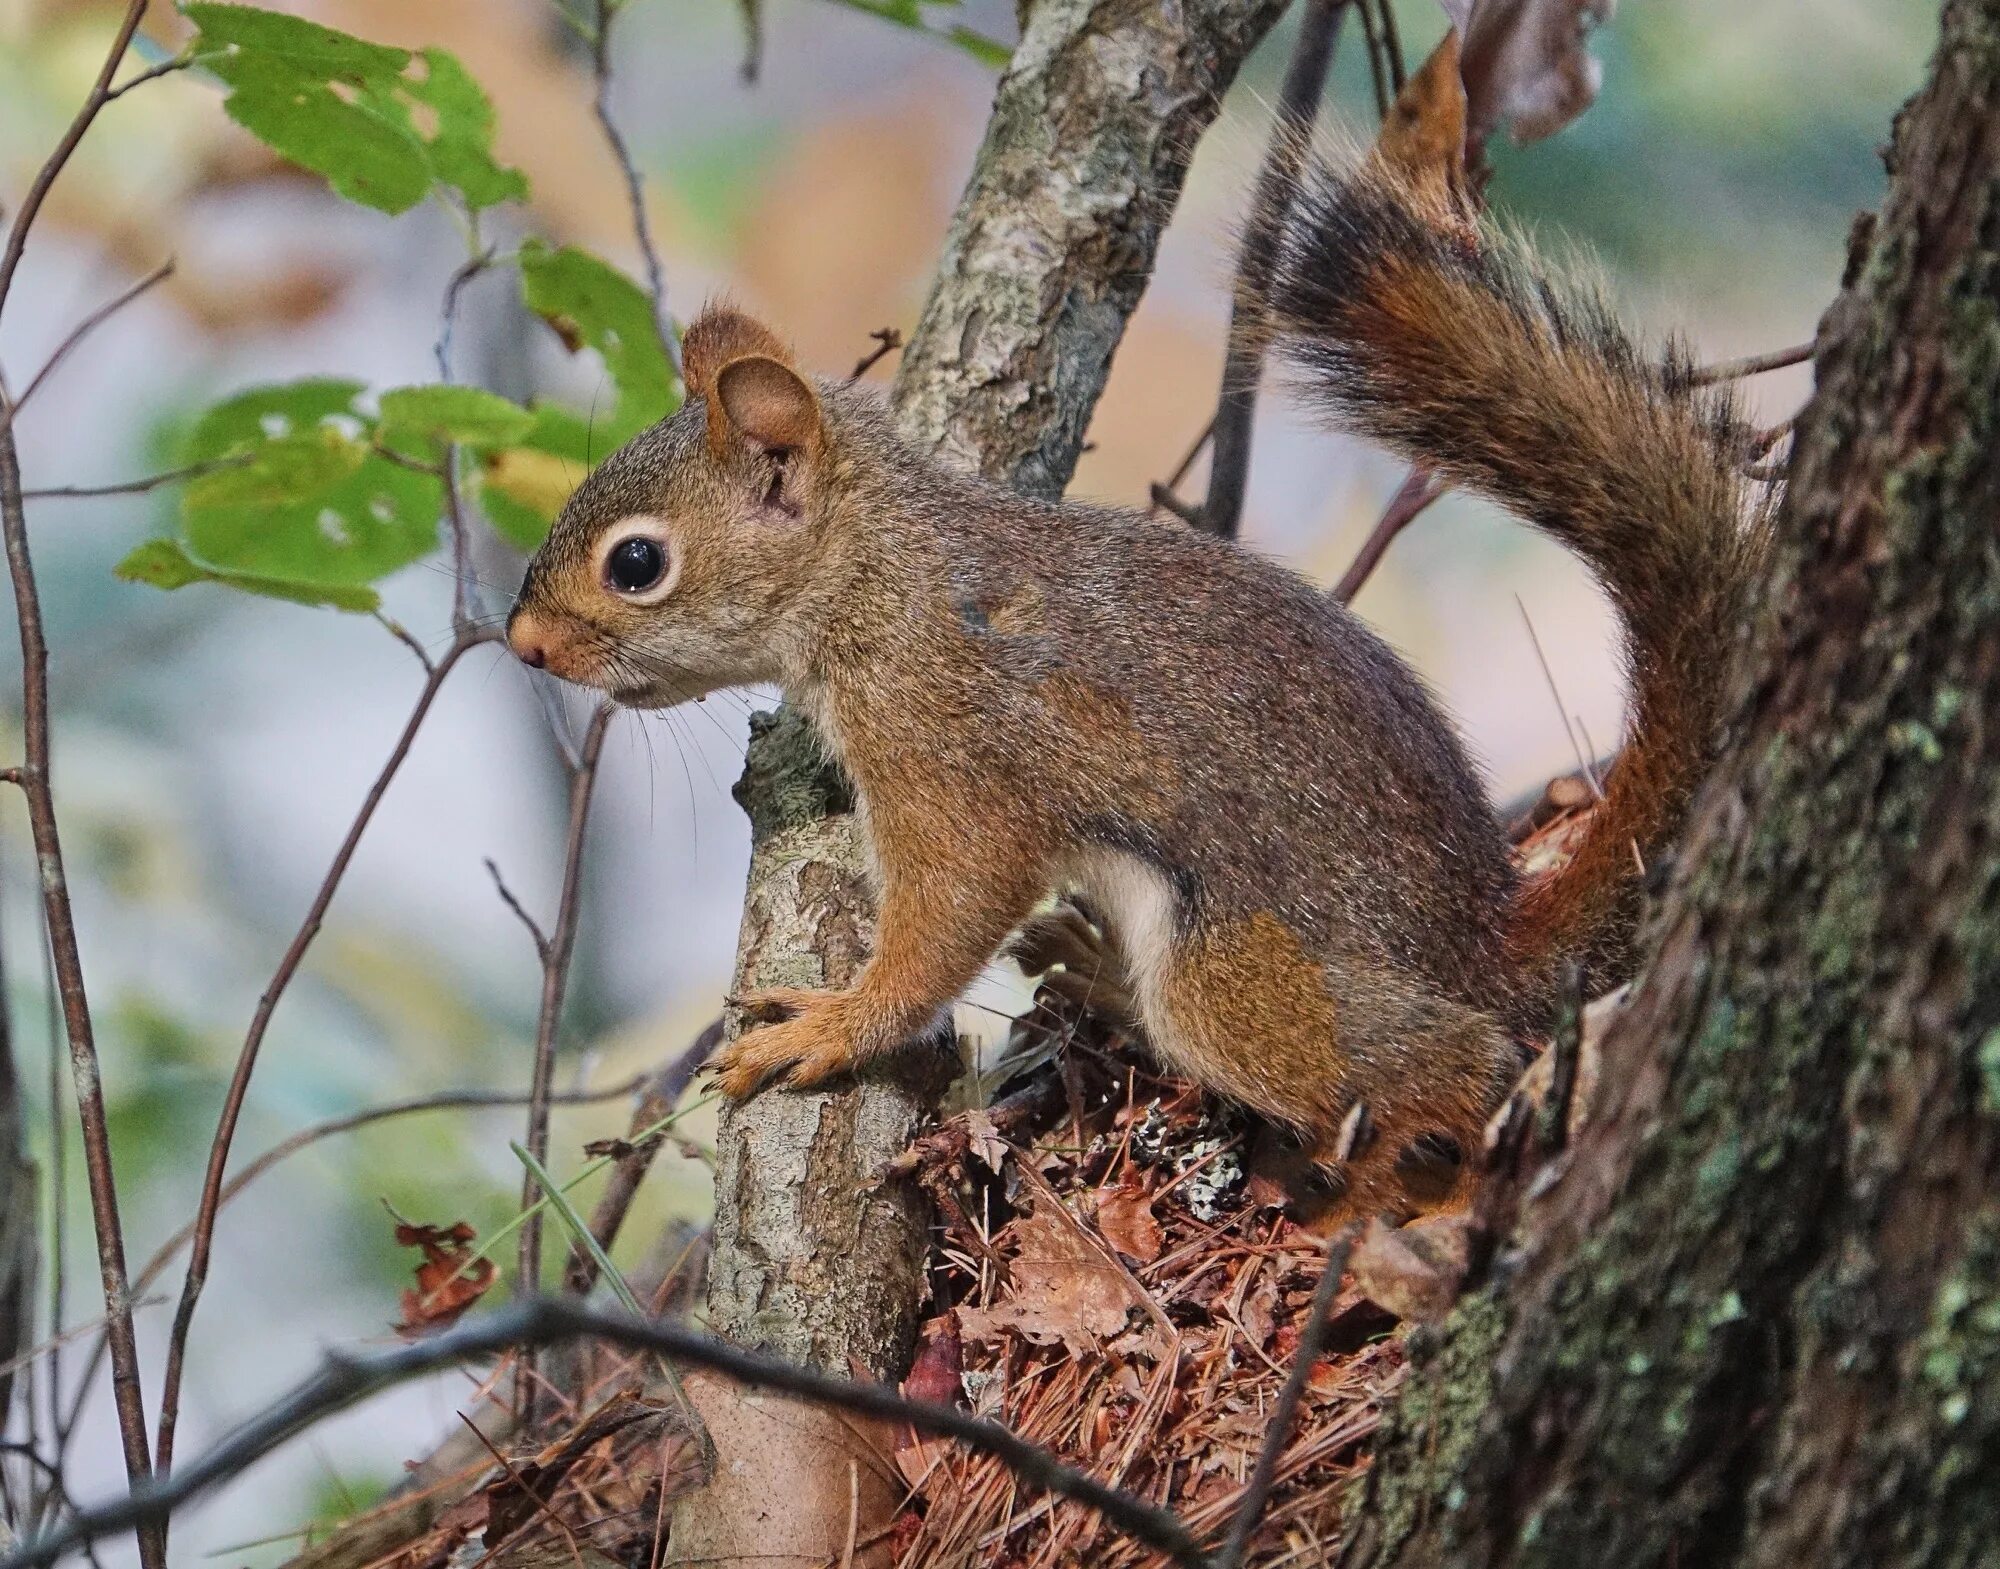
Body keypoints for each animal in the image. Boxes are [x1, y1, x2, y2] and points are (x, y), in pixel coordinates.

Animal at [508, 156, 1776, 1216]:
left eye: (636, 564)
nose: (521, 642)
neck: (888, 577)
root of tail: (1486, 939)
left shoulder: (956, 755)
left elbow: (945, 916)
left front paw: (831, 1025)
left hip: (1241, 972)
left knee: (1453, 1062)